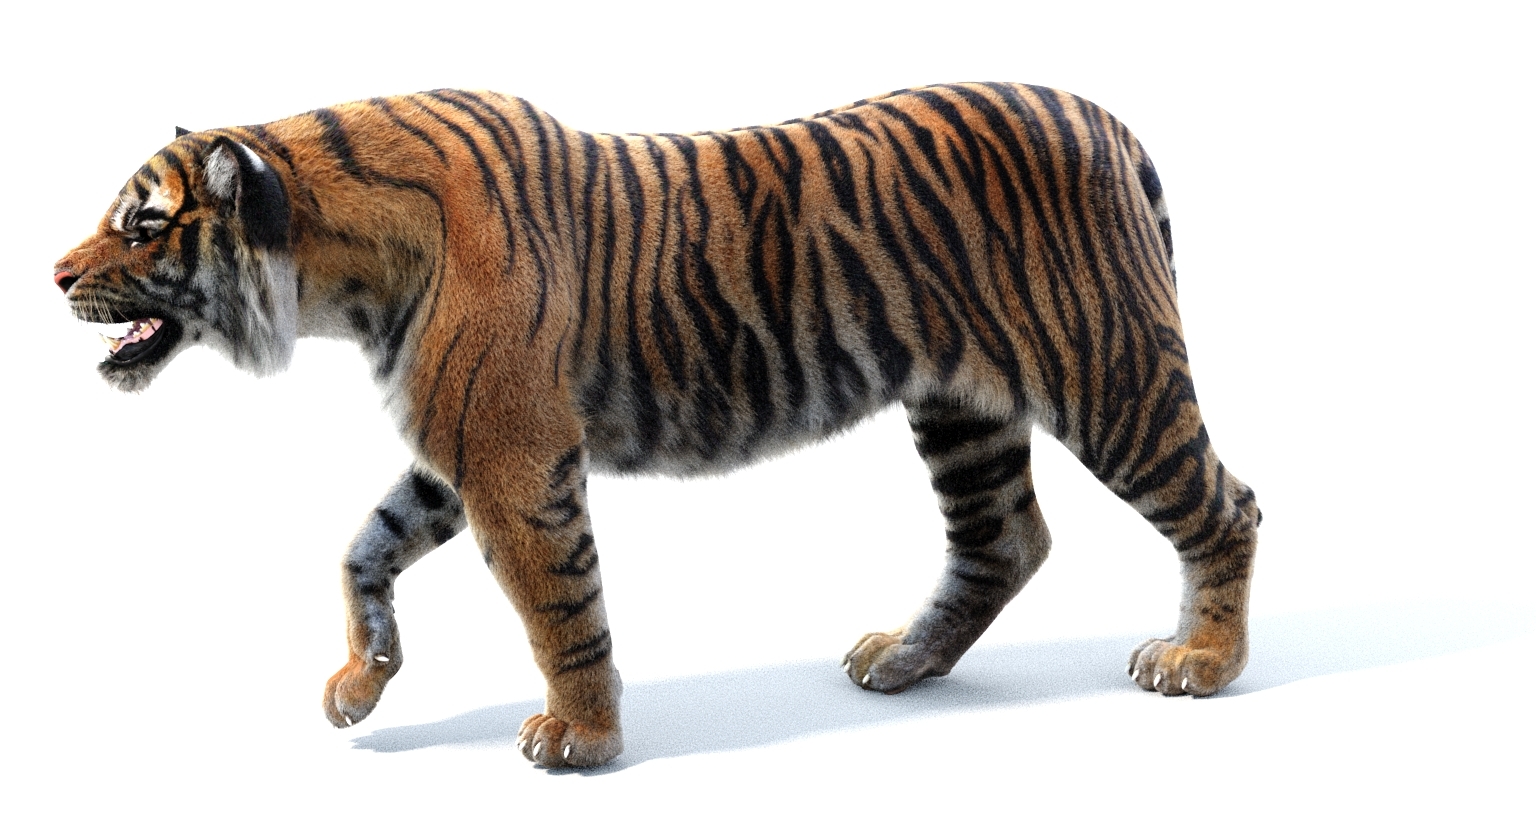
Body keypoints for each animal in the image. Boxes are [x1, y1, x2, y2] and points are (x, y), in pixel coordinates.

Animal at [54, 83, 1260, 768]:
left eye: (142, 224)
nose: (55, 273)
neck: (333, 278)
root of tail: (1105, 118)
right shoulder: (456, 443)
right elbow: (365, 546)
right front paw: (363, 681)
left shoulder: (512, 455)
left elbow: (560, 607)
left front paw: (581, 738)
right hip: (961, 406)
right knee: (1003, 538)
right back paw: (902, 661)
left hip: (1109, 372)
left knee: (1226, 505)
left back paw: (1201, 659)